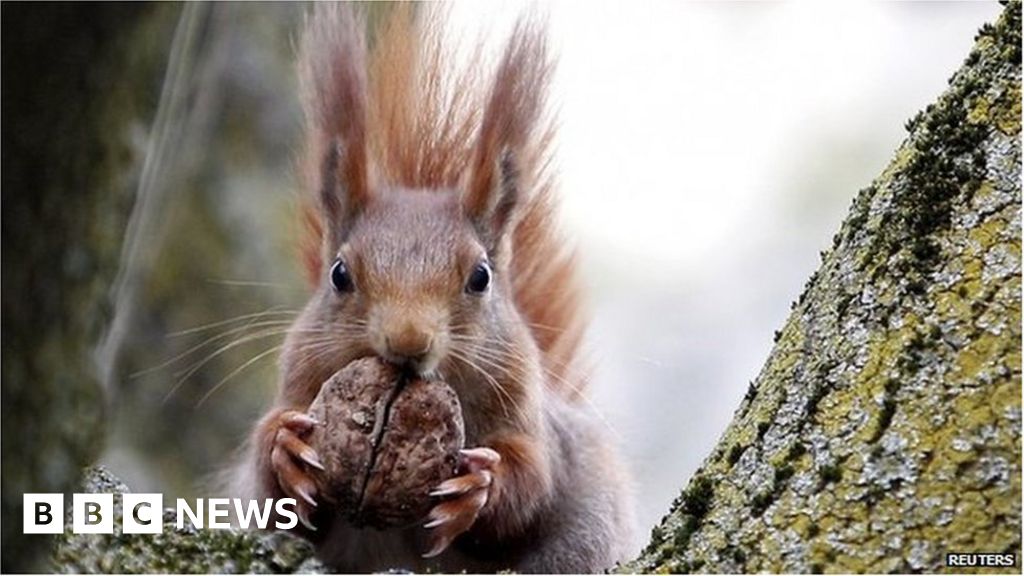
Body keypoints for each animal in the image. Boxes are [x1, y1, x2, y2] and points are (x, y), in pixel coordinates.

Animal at [230, 4, 630, 569]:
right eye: (339, 275)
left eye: (481, 277)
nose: (408, 340)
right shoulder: (300, 380)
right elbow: (270, 494)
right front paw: (285, 448)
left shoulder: (531, 421)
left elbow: (531, 482)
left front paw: (479, 486)